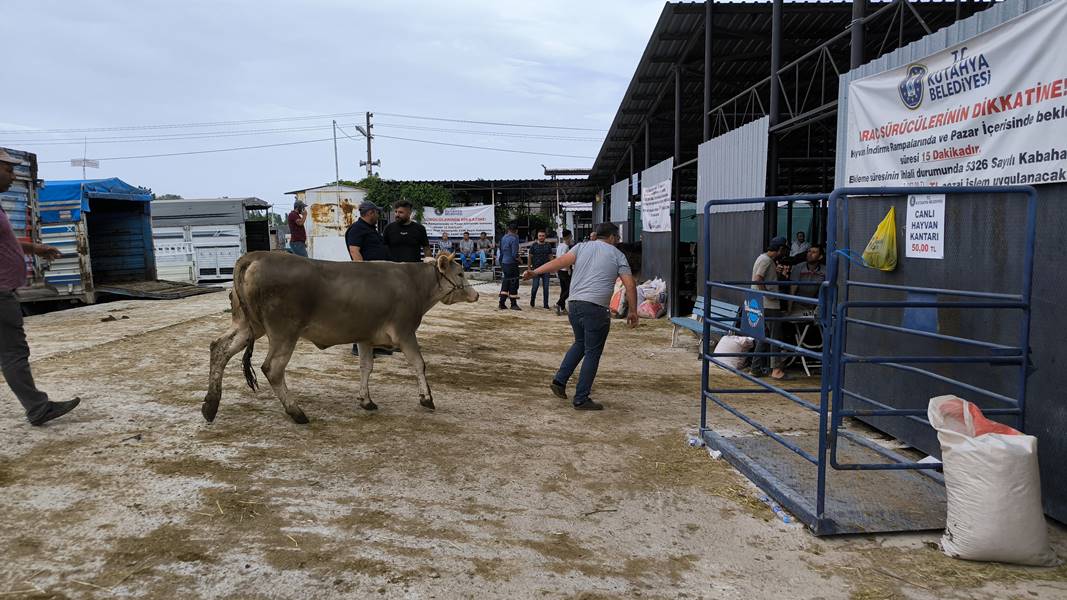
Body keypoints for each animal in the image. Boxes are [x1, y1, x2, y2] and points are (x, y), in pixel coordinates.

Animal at [201, 249, 478, 422]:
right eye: (460, 273)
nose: (475, 294)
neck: (414, 283)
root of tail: (255, 256)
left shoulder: (365, 336)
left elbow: (366, 367)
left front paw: (366, 400)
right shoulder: (405, 331)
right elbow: (419, 364)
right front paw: (427, 398)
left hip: (248, 325)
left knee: (219, 348)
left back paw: (210, 405)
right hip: (284, 331)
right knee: (273, 368)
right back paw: (296, 412)